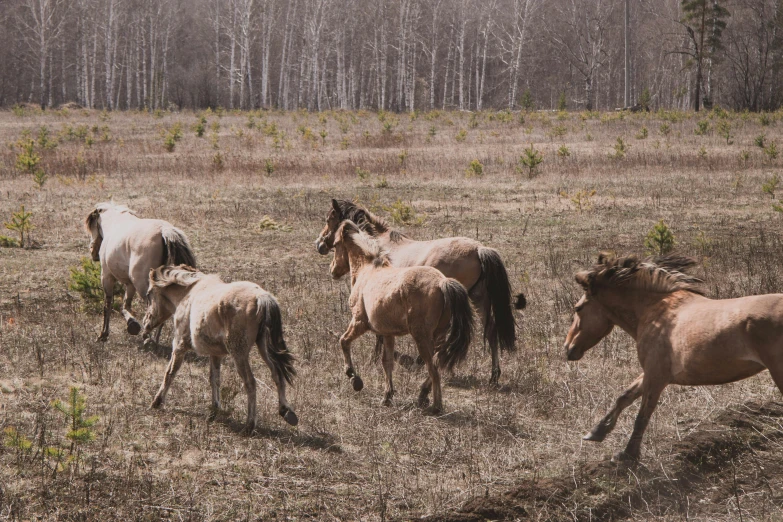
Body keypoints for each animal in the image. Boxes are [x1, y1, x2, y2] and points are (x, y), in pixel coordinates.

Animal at [83, 200, 198, 342]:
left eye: (92, 227)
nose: (92, 252)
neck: (115, 223)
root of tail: (164, 231)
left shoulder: (107, 276)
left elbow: (108, 304)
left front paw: (103, 334)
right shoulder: (130, 284)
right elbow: (125, 305)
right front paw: (132, 324)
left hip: (142, 285)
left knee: (154, 308)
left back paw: (147, 337)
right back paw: (154, 339)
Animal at [142, 264, 298, 430]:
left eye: (148, 294)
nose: (145, 324)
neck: (188, 293)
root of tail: (261, 297)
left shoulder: (179, 346)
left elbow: (170, 372)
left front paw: (157, 402)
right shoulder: (215, 354)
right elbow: (215, 379)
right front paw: (214, 410)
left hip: (239, 355)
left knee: (250, 382)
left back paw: (249, 425)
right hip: (263, 348)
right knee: (277, 374)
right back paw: (286, 411)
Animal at [314, 198, 528, 382]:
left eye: (330, 219)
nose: (319, 244)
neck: (378, 244)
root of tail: (479, 249)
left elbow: (378, 333)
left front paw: (373, 359)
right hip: (478, 299)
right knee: (490, 331)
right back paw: (494, 375)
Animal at [330, 218, 474, 410]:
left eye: (335, 244)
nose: (332, 270)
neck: (367, 271)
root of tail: (442, 282)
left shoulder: (359, 322)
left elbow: (343, 342)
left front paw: (355, 379)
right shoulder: (387, 333)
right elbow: (387, 362)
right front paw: (387, 396)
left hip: (421, 336)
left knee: (433, 368)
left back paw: (435, 406)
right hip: (439, 334)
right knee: (438, 362)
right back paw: (423, 396)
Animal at [564, 252, 783, 460]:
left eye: (578, 308)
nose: (568, 348)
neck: (656, 312)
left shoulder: (656, 376)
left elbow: (642, 416)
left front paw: (628, 455)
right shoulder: (652, 372)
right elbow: (624, 396)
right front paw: (596, 432)